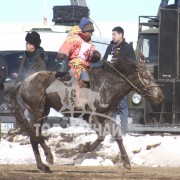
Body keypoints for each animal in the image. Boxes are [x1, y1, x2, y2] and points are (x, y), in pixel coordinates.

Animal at [10, 60, 164, 173]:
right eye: (146, 77)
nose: (160, 97)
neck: (107, 84)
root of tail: (24, 82)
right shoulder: (92, 116)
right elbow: (101, 136)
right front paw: (82, 149)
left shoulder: (107, 116)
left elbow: (118, 137)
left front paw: (126, 162)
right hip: (38, 111)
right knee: (35, 136)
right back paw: (48, 158)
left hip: (43, 112)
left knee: (34, 136)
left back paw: (43, 166)